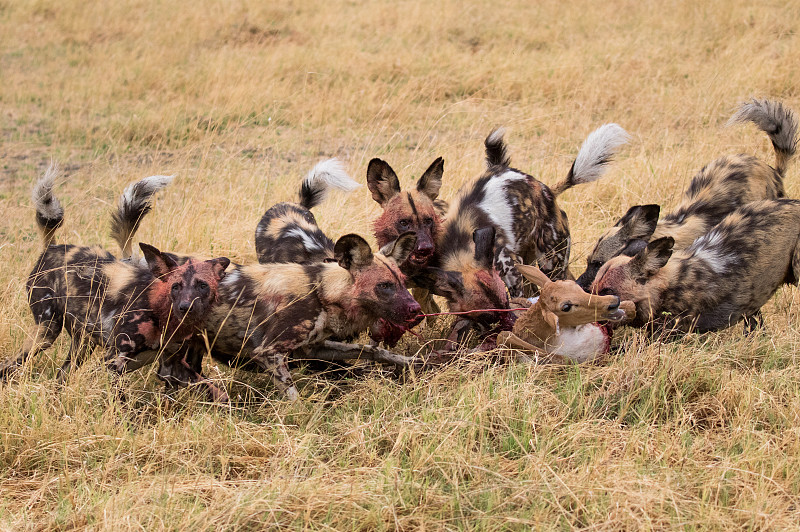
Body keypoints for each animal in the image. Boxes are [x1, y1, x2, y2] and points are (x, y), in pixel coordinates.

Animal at [1, 166, 230, 386]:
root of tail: (52, 248)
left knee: (60, 376)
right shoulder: (114, 362)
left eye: (203, 286)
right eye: (175, 286)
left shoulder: (170, 368)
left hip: (82, 345)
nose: (186, 307)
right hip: (46, 332)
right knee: (8, 367)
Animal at [412, 123, 632, 330]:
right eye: (483, 316)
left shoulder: (512, 272)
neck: (461, 242)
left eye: (503, 305)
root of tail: (545, 190)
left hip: (550, 262)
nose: (500, 328)